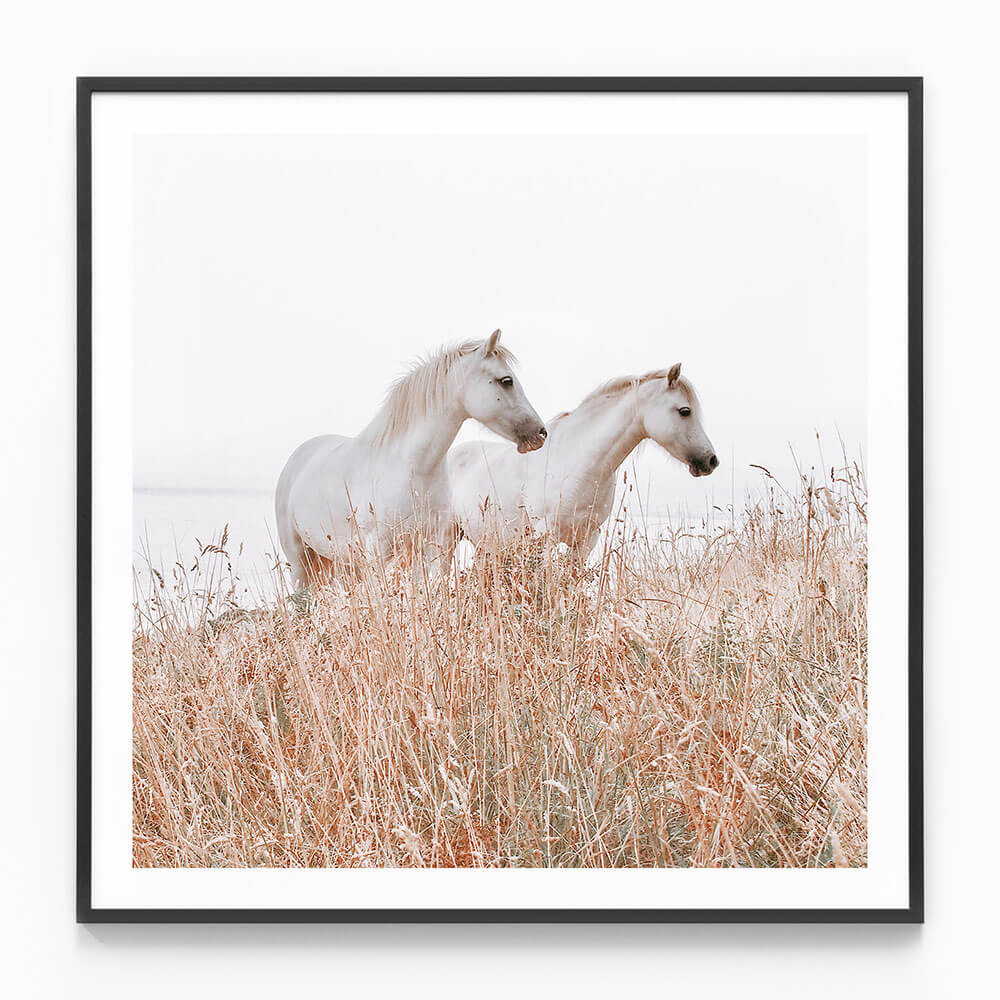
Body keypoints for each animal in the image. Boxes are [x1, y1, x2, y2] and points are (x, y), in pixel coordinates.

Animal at [275, 330, 547, 586]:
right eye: (506, 381)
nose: (541, 433)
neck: (413, 467)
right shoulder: (377, 553)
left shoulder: (427, 548)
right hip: (299, 562)